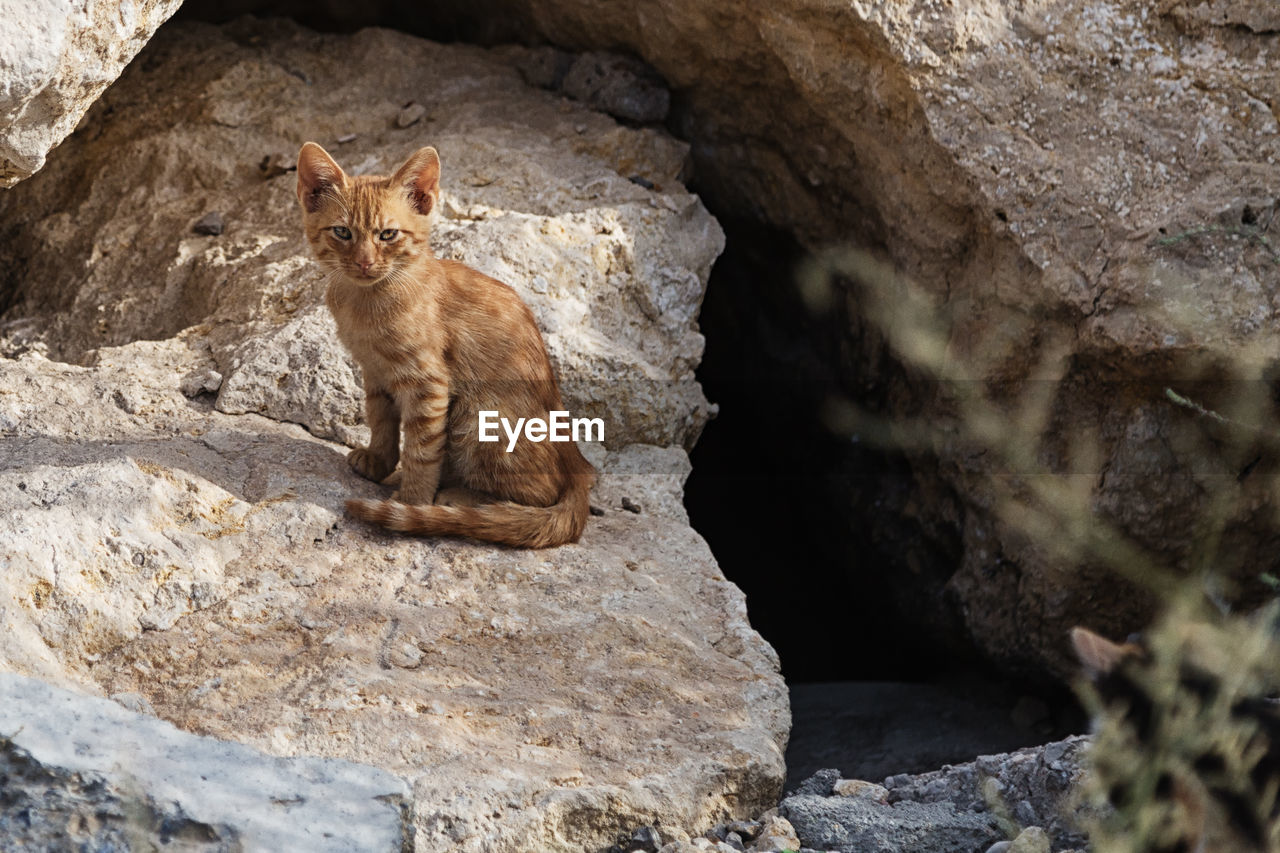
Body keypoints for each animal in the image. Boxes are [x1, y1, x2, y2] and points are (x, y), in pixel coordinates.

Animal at [296, 140, 596, 545]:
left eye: (387, 235)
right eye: (342, 232)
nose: (364, 263)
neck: (366, 303)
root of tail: (577, 465)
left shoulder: (429, 383)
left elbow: (421, 451)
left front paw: (412, 502)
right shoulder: (374, 373)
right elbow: (381, 423)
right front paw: (378, 461)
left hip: (479, 419)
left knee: (539, 494)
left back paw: (460, 499)